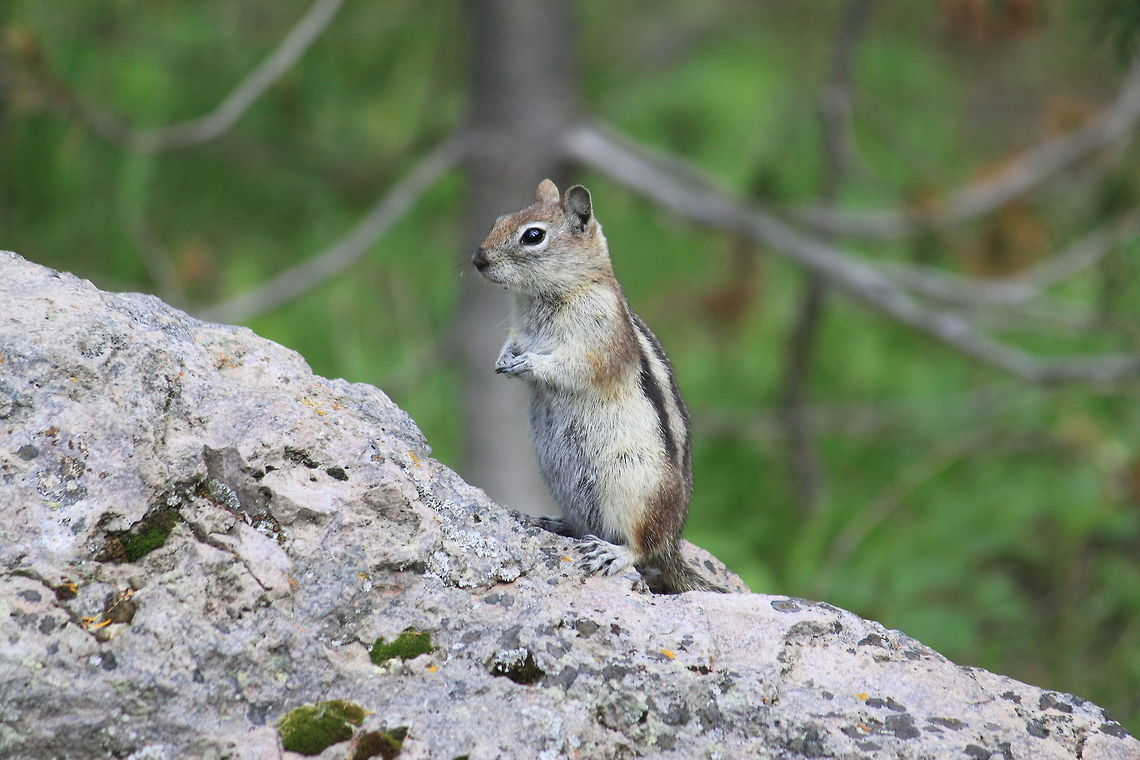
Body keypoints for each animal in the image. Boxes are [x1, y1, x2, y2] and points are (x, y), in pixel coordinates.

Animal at [472, 178, 723, 594]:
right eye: (498, 220)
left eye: (533, 236)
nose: (478, 259)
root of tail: (674, 545)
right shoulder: (519, 331)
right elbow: (512, 342)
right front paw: (504, 358)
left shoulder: (599, 340)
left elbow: (575, 367)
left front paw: (530, 364)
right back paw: (555, 523)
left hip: (632, 488)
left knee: (642, 547)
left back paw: (613, 552)